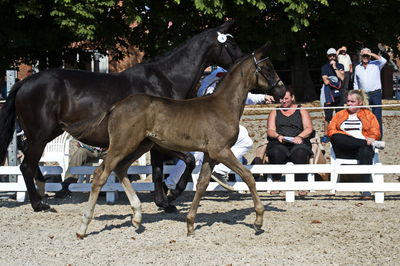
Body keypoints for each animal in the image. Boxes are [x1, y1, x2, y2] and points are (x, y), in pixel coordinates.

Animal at [0, 20, 242, 212]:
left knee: (29, 160)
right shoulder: (161, 141)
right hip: (41, 134)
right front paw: (172, 196)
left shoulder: (154, 142)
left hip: (40, 134)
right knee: (26, 165)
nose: (245, 63)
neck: (165, 80)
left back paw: (42, 190)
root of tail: (25, 83)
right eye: (229, 44)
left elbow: (158, 170)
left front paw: (164, 202)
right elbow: (187, 161)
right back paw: (39, 204)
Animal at [72, 44, 284, 238]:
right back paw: (83, 228)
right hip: (122, 145)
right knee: (100, 175)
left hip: (141, 145)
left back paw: (137, 217)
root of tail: (116, 106)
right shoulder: (221, 151)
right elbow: (248, 176)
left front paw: (190, 223)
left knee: (121, 169)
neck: (223, 106)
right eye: (267, 68)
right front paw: (258, 220)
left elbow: (202, 184)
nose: (282, 91)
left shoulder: (210, 154)